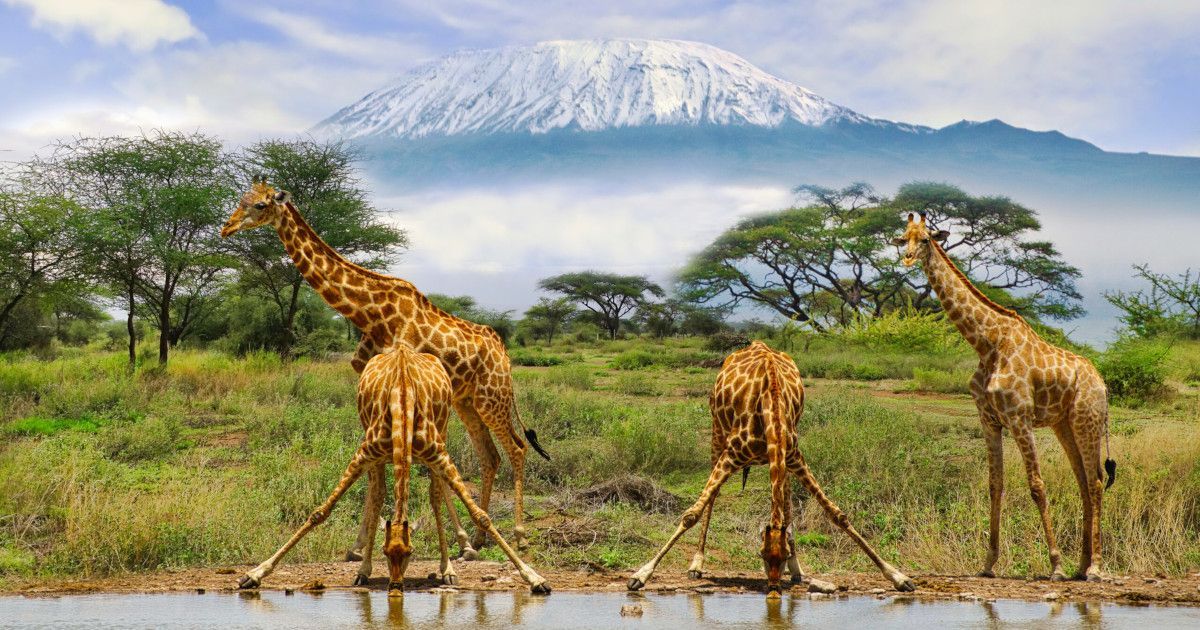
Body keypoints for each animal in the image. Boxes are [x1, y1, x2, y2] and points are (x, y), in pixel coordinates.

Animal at [221, 180, 550, 558]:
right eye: (241, 200)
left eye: (260, 205)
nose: (226, 227)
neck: (370, 313)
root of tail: (505, 354)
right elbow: (378, 465)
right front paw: (360, 546)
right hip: (467, 401)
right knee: (490, 457)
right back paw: (480, 539)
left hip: (491, 397)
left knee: (517, 449)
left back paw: (518, 535)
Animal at [236, 345, 550, 594]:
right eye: (386, 553)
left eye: (411, 552)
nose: (396, 586)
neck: (403, 400)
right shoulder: (365, 453)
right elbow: (320, 512)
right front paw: (254, 574)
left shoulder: (439, 454)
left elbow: (481, 516)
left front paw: (534, 578)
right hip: (375, 452)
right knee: (377, 494)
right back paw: (363, 571)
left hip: (445, 431)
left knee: (436, 495)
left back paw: (447, 569)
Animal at [627, 341, 915, 597]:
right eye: (761, 555)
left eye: (782, 555)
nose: (774, 588)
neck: (770, 407)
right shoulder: (731, 455)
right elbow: (691, 515)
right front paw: (640, 575)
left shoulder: (795, 457)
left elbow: (837, 515)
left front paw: (899, 577)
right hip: (717, 434)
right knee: (713, 497)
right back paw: (696, 564)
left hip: (781, 460)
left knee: (785, 497)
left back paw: (798, 570)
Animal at [893, 212, 1115, 581]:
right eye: (903, 238)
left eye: (925, 239)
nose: (907, 259)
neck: (987, 343)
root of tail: (1101, 382)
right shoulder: (989, 419)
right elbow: (994, 485)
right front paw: (988, 564)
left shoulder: (1019, 417)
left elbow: (1037, 485)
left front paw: (1055, 565)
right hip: (1063, 425)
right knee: (1084, 483)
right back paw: (1081, 566)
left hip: (1088, 420)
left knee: (1096, 482)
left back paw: (1095, 568)